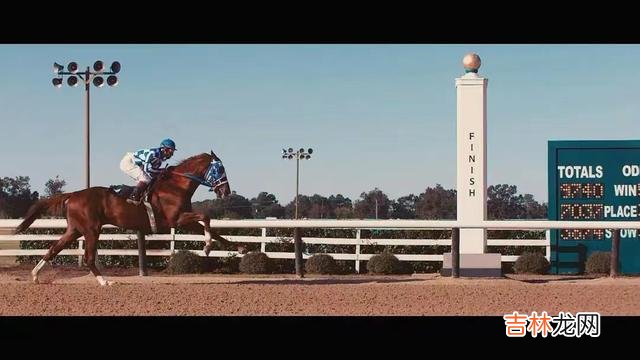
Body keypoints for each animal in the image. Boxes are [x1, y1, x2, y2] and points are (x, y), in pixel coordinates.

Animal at [14, 150, 240, 286]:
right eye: (220, 168)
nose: (226, 191)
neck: (176, 186)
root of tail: (73, 194)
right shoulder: (175, 220)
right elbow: (206, 217)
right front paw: (207, 247)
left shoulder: (184, 221)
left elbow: (213, 229)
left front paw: (240, 248)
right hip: (91, 229)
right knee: (88, 257)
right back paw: (104, 281)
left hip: (75, 229)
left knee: (54, 248)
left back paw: (35, 275)